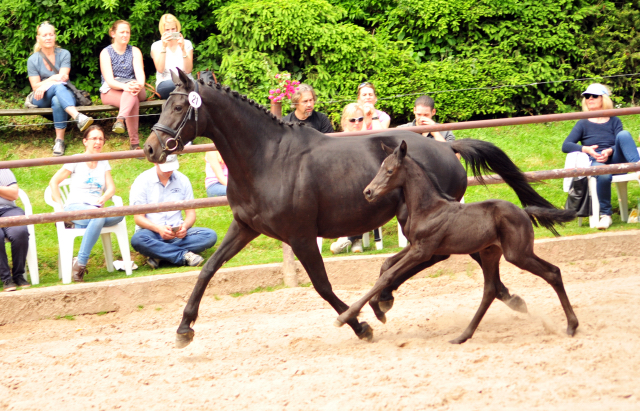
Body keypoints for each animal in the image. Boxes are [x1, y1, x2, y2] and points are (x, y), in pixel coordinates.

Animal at [338, 142, 576, 344]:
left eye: (389, 171)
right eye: (381, 168)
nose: (368, 192)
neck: (428, 208)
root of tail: (524, 212)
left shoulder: (422, 251)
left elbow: (387, 275)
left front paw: (346, 316)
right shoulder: (414, 246)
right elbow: (386, 265)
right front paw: (379, 309)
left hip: (517, 254)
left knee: (552, 273)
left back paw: (572, 326)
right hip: (492, 253)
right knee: (490, 289)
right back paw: (463, 336)